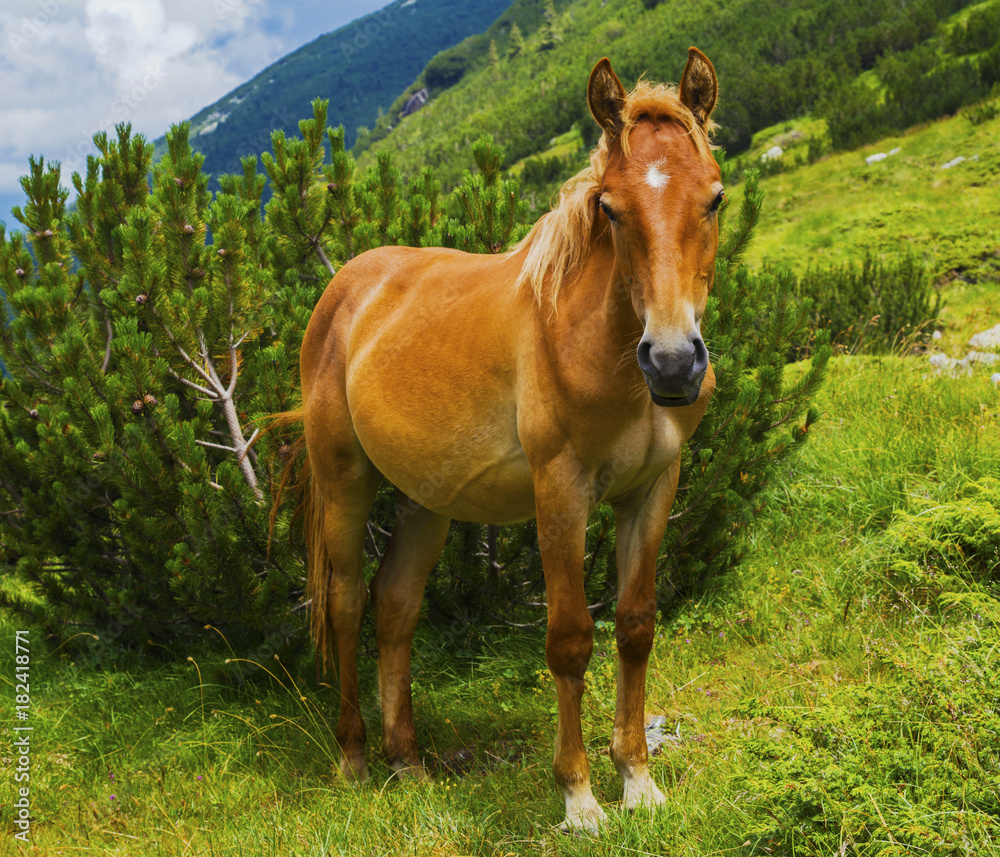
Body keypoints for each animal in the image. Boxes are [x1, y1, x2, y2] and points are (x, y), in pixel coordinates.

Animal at [295, 49, 723, 831]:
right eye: (611, 209)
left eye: (713, 198)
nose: (674, 362)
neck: (600, 345)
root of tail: (346, 286)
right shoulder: (561, 493)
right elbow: (570, 639)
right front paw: (580, 798)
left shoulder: (652, 489)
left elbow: (636, 625)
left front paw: (638, 781)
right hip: (344, 482)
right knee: (344, 603)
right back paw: (354, 759)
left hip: (425, 502)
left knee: (394, 607)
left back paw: (408, 762)